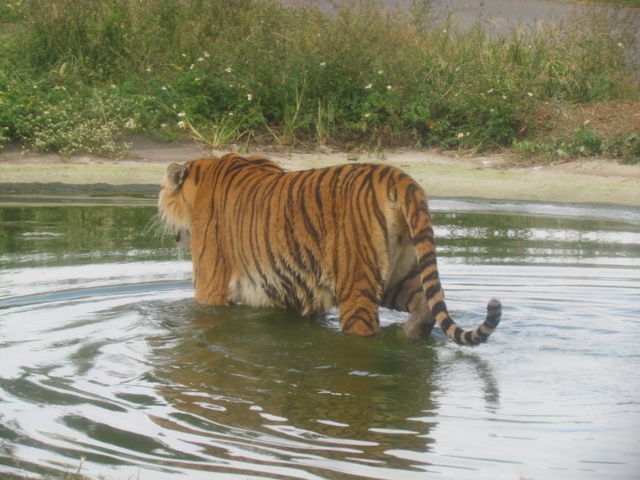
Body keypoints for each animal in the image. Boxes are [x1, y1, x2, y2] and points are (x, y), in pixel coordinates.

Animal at [158, 154, 502, 344]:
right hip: (400, 276)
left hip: (356, 281)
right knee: (427, 308)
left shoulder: (210, 285)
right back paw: (408, 337)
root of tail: (396, 174)